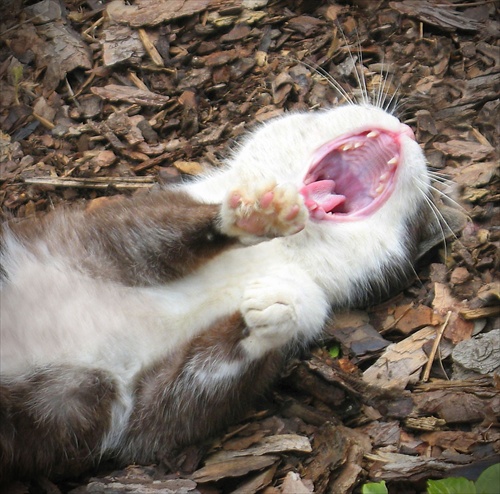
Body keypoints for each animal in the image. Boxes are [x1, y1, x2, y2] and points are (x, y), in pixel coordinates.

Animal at [0, 102, 430, 480]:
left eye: (416, 223)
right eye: (325, 111)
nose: (409, 129)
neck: (274, 258)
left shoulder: (122, 406)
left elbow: (179, 400)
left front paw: (281, 305)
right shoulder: (94, 235)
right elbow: (151, 235)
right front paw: (254, 215)